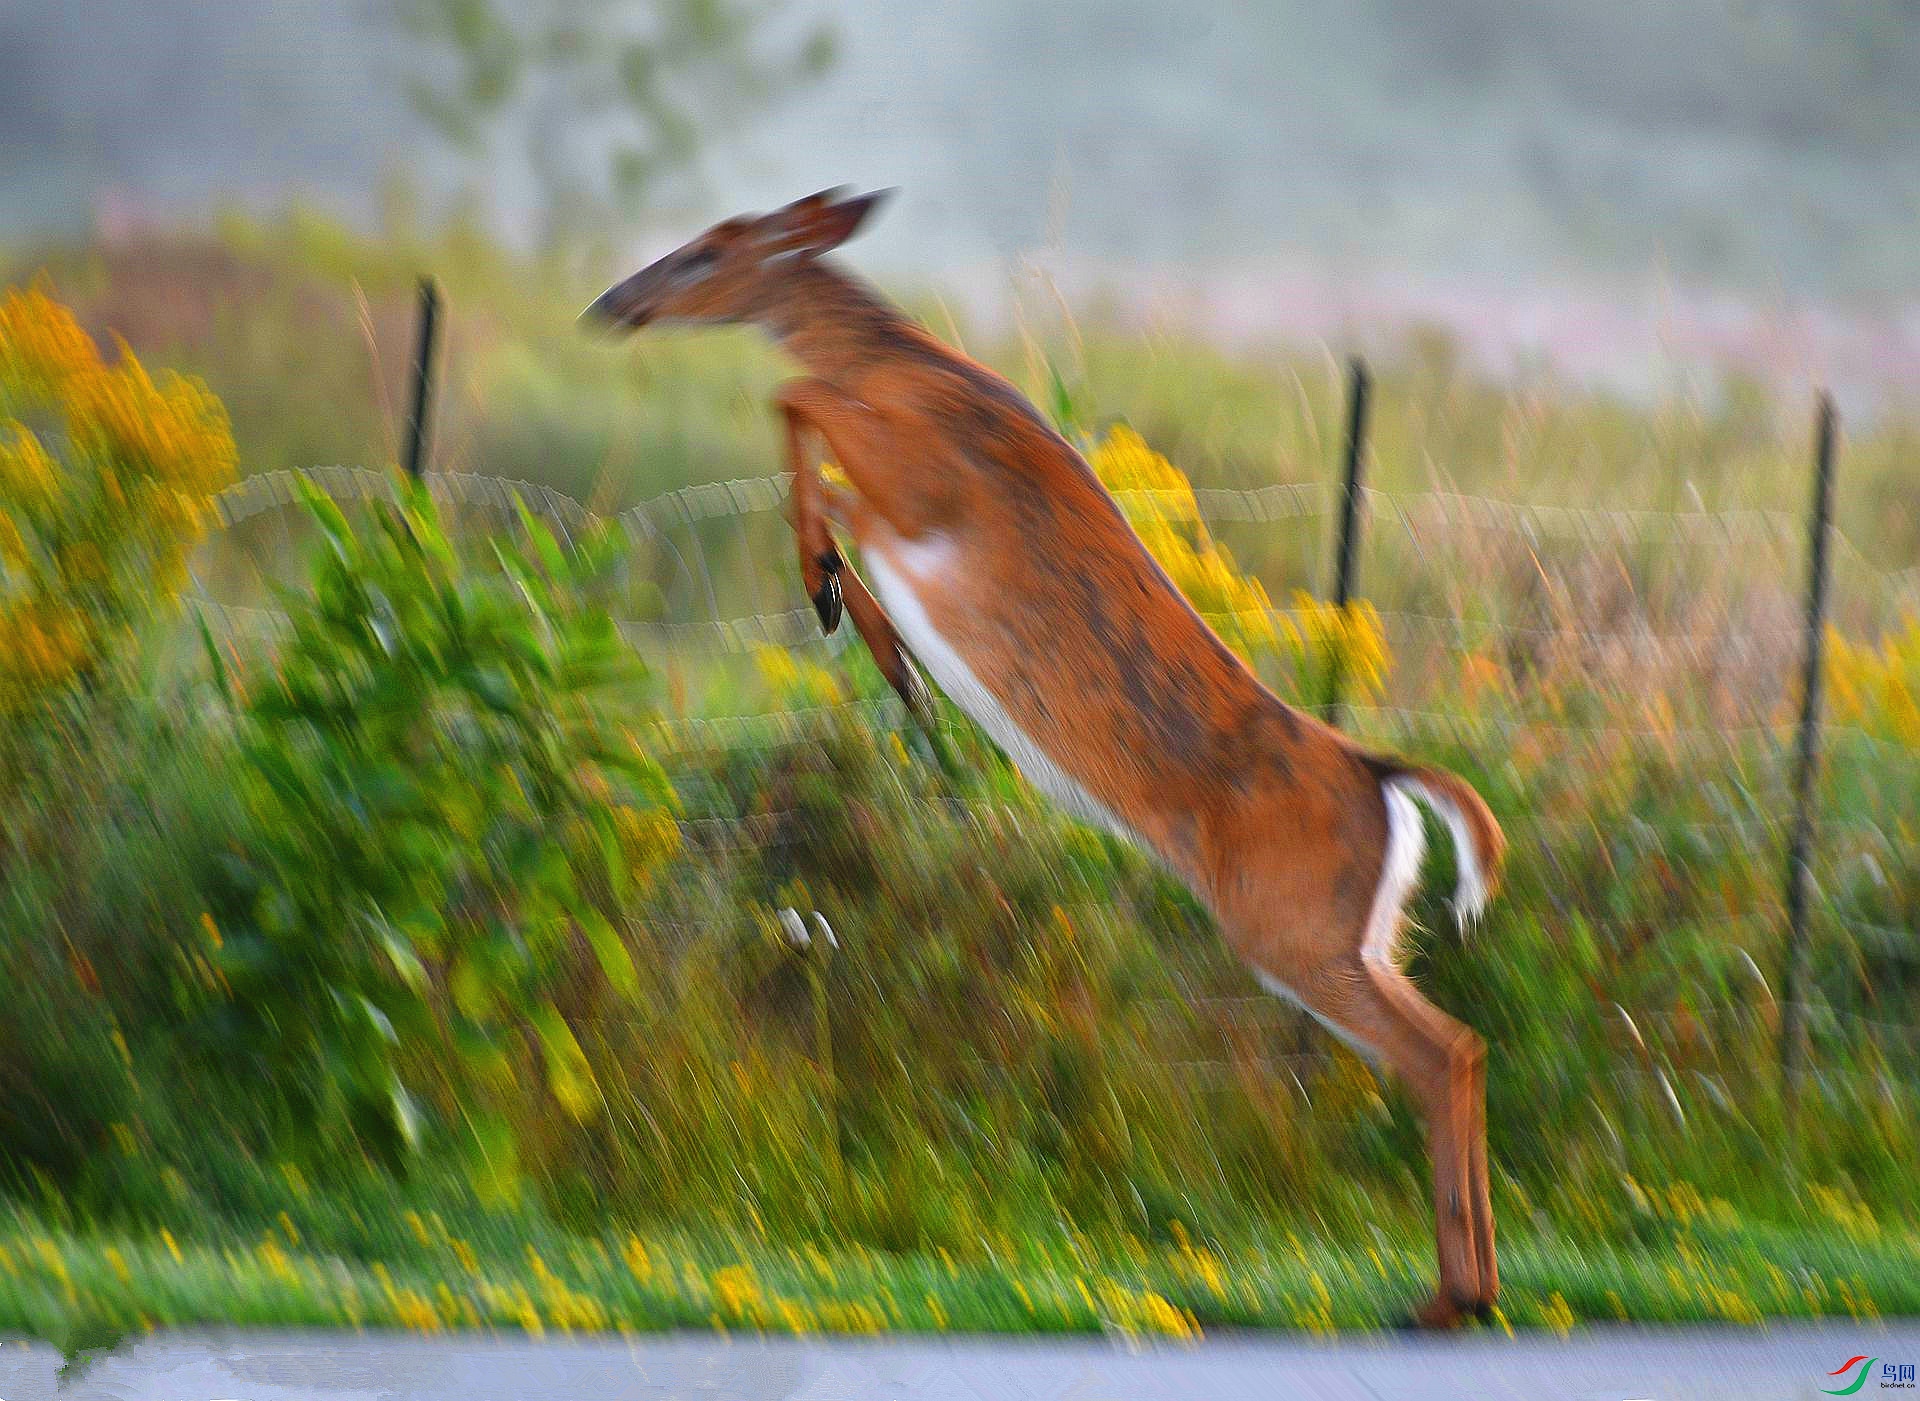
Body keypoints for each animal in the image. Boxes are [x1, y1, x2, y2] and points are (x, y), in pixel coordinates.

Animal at [576, 188, 1505, 1328]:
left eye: (708, 251)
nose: (614, 302)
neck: (907, 364)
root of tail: (1382, 776)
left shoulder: (925, 488)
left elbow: (798, 406)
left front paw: (835, 595)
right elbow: (813, 442)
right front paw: (880, 645)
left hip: (1285, 921)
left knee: (1439, 1051)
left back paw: (1448, 1299)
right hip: (1355, 931)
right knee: (1459, 1045)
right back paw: (1465, 1290)